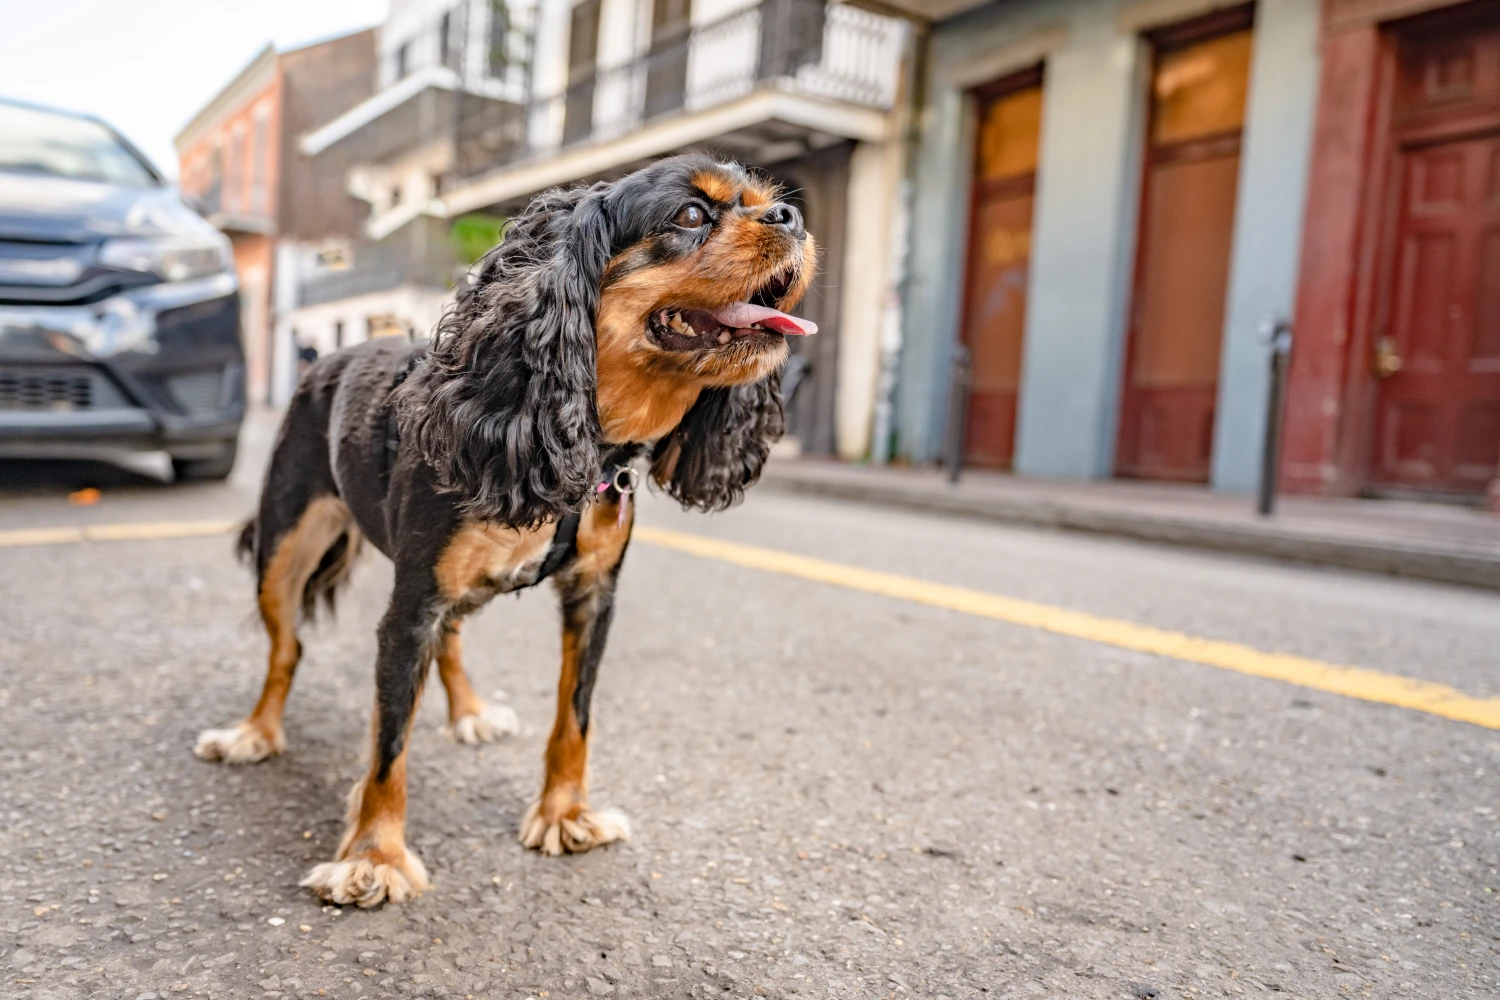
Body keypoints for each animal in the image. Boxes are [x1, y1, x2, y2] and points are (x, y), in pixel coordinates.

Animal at [195, 154, 822, 905]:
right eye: (691, 215)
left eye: (768, 200)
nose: (793, 216)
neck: (583, 437)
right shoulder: (410, 606)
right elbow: (388, 743)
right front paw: (374, 857)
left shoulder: (592, 597)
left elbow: (574, 718)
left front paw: (566, 815)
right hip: (283, 546)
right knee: (286, 648)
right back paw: (254, 733)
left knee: (450, 640)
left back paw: (468, 711)